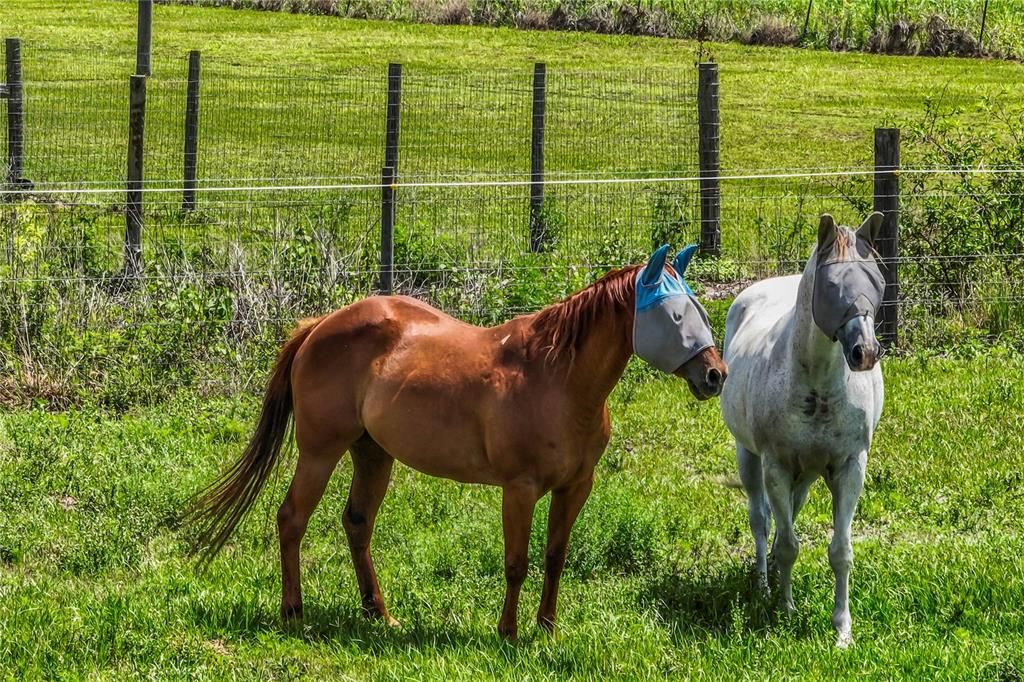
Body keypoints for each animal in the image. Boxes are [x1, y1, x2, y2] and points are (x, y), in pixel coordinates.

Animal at [186, 244, 729, 638]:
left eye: (700, 311)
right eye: (675, 317)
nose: (716, 375)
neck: (556, 377)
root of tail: (319, 325)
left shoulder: (576, 487)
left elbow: (555, 557)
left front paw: (547, 629)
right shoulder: (520, 489)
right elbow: (517, 563)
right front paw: (508, 633)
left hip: (373, 454)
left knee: (357, 524)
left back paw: (379, 614)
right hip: (320, 452)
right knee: (291, 519)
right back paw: (293, 613)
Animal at [720, 210, 888, 643]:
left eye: (877, 280)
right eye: (831, 286)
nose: (865, 353)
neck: (819, 387)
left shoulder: (849, 468)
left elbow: (840, 552)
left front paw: (842, 629)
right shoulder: (776, 466)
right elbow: (787, 547)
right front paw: (784, 610)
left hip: (808, 475)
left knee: (788, 517)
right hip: (749, 458)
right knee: (761, 521)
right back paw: (763, 583)